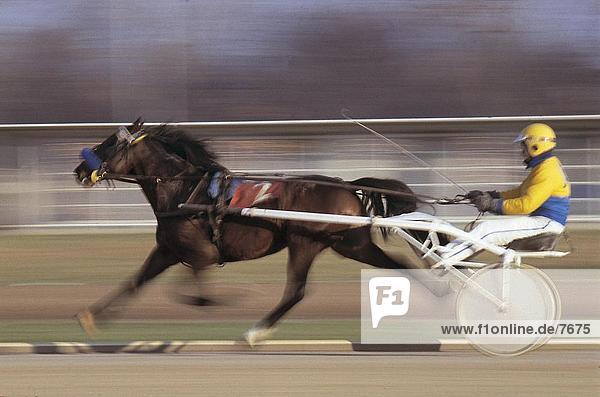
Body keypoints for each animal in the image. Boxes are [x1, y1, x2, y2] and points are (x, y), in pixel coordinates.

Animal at [74, 118, 418, 344]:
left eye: (108, 143)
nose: (79, 169)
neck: (182, 191)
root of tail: (346, 185)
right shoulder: (168, 250)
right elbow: (136, 281)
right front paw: (90, 317)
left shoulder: (202, 253)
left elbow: (194, 293)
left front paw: (231, 300)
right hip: (351, 244)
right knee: (401, 265)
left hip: (304, 242)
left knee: (295, 291)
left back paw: (254, 331)